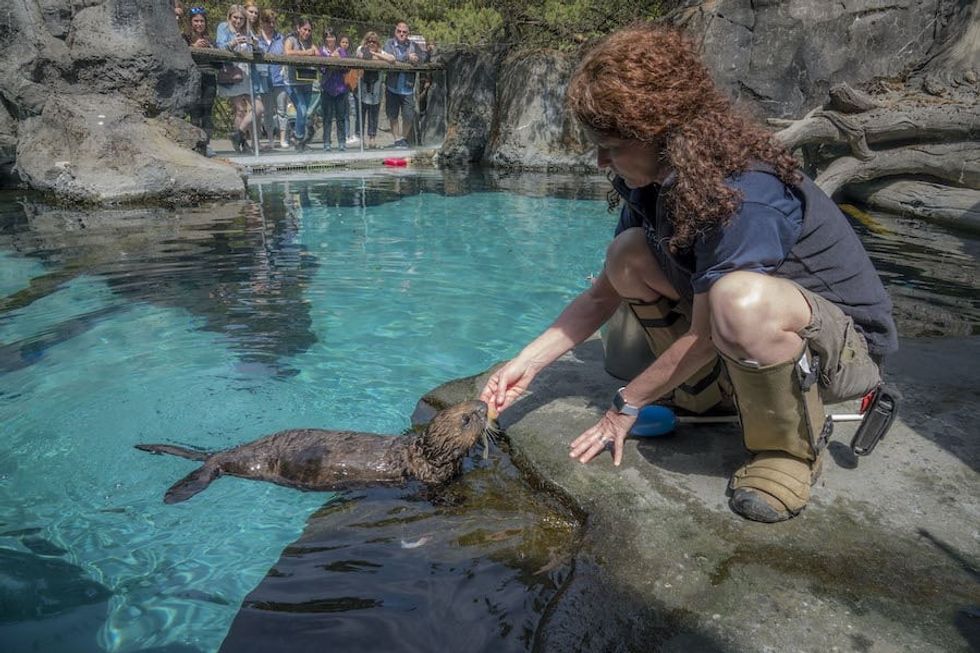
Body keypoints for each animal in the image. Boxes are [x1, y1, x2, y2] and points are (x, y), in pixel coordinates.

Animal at [136, 400, 489, 504]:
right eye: (466, 417)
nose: (484, 405)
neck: (418, 453)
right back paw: (175, 494)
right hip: (242, 463)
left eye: (470, 404)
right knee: (213, 468)